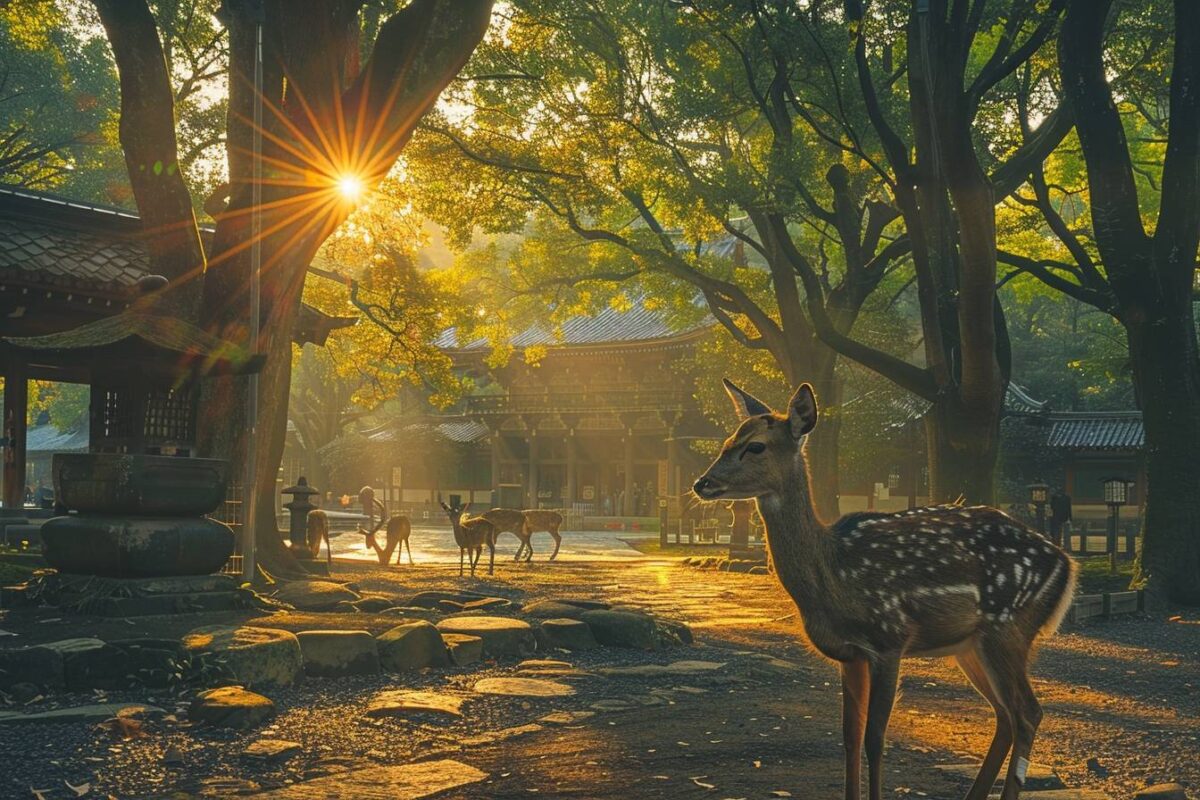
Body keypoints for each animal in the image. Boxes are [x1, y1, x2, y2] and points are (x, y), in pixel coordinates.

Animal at [696, 381, 1080, 800]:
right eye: (727, 441)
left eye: (756, 446)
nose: (702, 483)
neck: (833, 575)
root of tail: (1067, 566)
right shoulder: (849, 654)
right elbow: (849, 737)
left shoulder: (889, 639)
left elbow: (875, 739)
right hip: (970, 646)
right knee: (1005, 714)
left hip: (1009, 628)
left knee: (1028, 712)